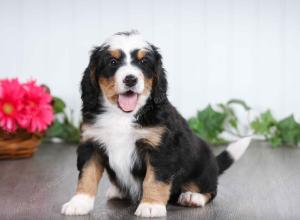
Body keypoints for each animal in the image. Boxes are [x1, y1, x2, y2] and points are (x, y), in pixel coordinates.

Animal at [61, 30, 251, 217]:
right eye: (112, 62)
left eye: (143, 61)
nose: (130, 79)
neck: (122, 116)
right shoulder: (91, 143)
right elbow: (87, 175)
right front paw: (79, 203)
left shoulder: (160, 149)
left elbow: (154, 179)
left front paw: (151, 206)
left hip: (203, 166)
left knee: (210, 189)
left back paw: (193, 197)